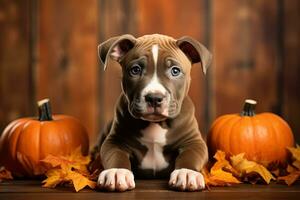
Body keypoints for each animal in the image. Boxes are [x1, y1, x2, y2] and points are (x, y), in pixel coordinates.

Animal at [96, 34, 211, 192]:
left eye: (175, 71)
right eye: (135, 70)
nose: (154, 98)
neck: (155, 123)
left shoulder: (193, 141)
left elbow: (190, 155)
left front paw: (187, 173)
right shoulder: (115, 141)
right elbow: (115, 155)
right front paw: (117, 172)